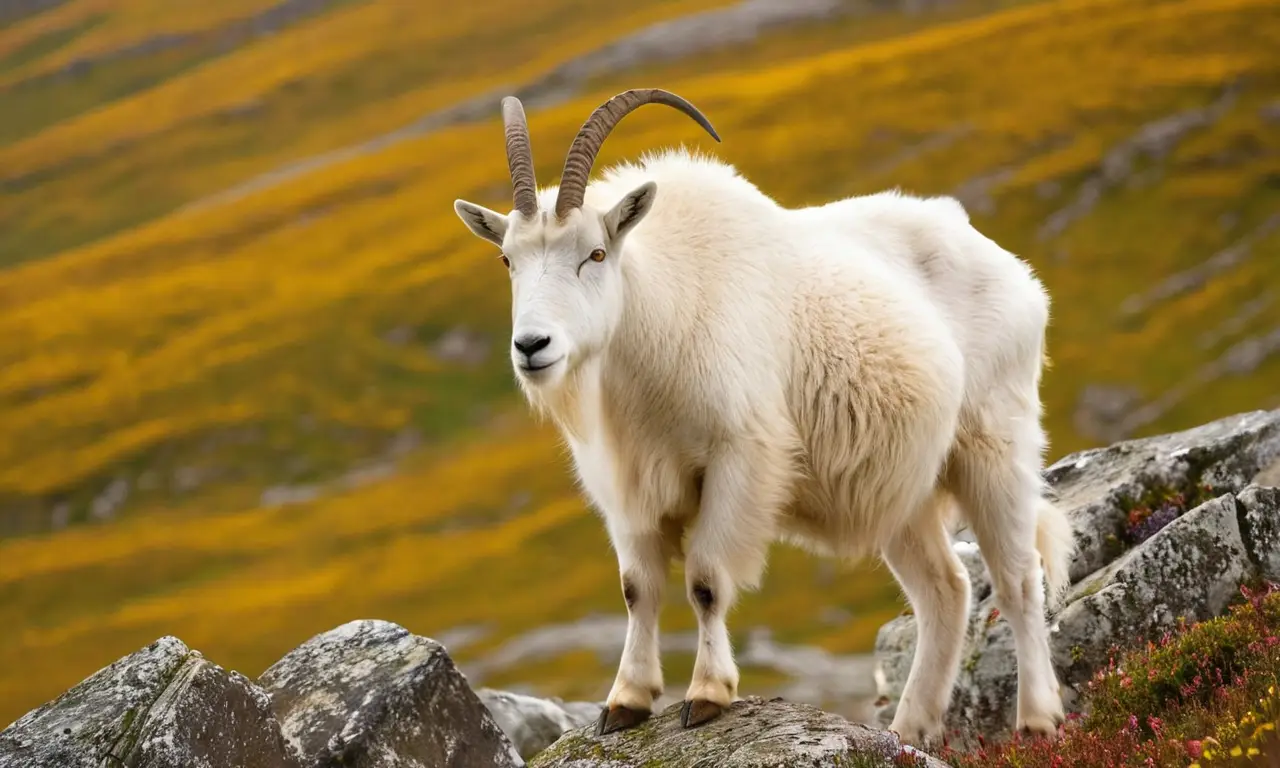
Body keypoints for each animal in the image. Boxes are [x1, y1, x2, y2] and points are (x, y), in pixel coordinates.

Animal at [452, 88, 1076, 746]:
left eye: (595, 253)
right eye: (507, 260)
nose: (532, 346)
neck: (658, 312)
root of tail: (1012, 270)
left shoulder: (738, 462)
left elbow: (705, 579)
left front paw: (706, 694)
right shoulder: (628, 486)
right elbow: (636, 588)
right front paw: (626, 702)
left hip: (994, 442)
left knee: (1018, 576)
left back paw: (1037, 720)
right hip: (904, 487)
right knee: (946, 591)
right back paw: (906, 731)